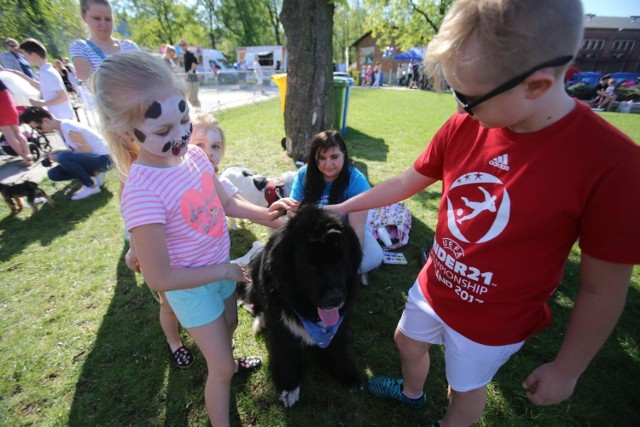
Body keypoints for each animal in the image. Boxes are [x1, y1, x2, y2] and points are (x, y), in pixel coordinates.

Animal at [242, 206, 364, 408]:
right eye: (310, 265)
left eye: (340, 260)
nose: (335, 299)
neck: (309, 314)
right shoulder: (281, 329)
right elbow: (287, 357)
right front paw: (289, 388)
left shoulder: (339, 325)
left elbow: (338, 348)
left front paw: (348, 375)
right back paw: (260, 322)